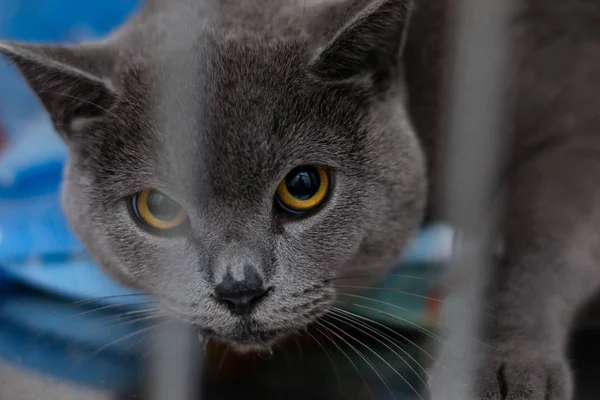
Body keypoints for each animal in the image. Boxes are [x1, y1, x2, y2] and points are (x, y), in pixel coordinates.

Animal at [0, 0, 596, 398]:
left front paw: (496, 366)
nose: (239, 288)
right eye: (159, 208)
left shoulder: (573, 135)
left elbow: (535, 249)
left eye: (304, 187)